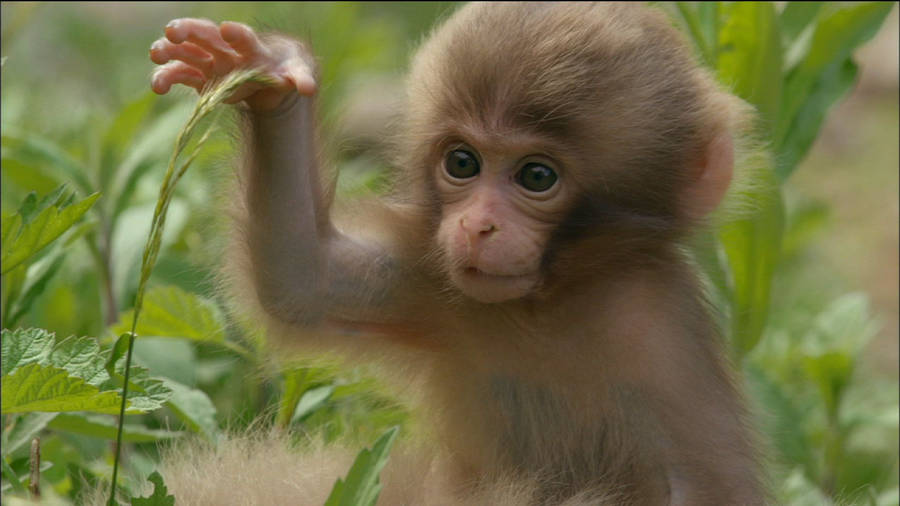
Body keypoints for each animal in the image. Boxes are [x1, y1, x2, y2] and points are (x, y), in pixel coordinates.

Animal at [146, 2, 766, 505]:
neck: (547, 307)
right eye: (462, 162)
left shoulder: (658, 337)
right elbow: (301, 281)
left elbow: (702, 487)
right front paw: (267, 74)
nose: (477, 226)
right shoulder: (437, 277)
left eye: (537, 176)